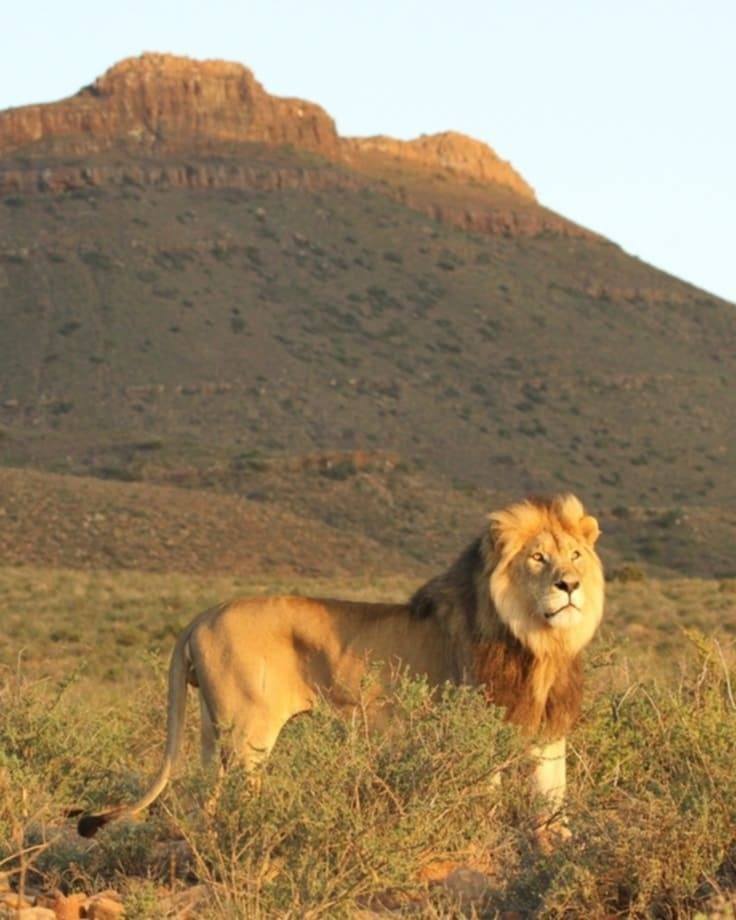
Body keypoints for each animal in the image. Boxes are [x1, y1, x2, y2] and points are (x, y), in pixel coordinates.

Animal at [76, 493, 604, 845]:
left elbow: (553, 792)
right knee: (239, 791)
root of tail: (203, 614)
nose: (569, 585)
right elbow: (487, 794)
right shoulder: (482, 720)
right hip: (248, 732)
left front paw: (562, 842)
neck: (539, 640)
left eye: (576, 555)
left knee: (203, 791)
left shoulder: (548, 729)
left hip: (211, 728)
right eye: (538, 557)